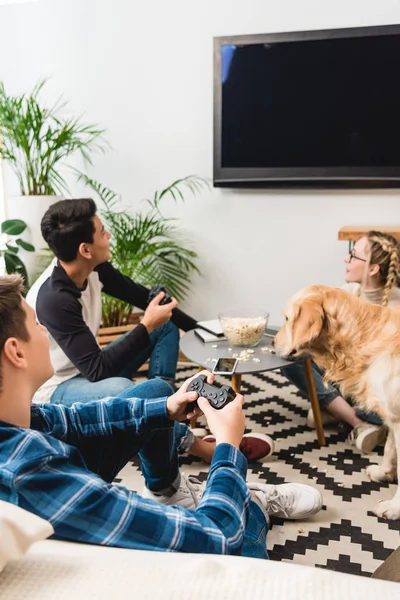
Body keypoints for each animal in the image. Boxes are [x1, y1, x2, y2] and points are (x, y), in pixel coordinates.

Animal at [276, 284, 400, 516]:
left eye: (287, 318)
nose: (273, 342)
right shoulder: (393, 413)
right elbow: (389, 449)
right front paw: (383, 473)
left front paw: (394, 508)